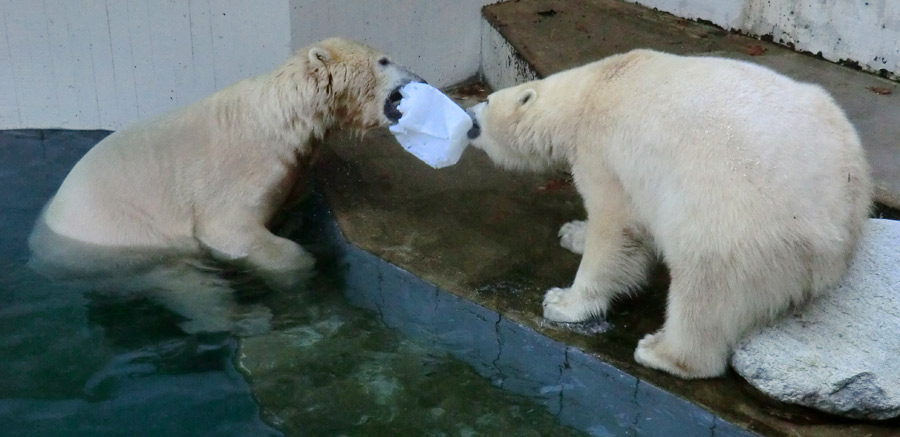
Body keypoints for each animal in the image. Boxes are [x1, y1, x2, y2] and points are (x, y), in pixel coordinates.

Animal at [28, 38, 422, 330]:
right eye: (384, 60)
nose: (420, 78)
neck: (282, 118)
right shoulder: (242, 168)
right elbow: (229, 228)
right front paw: (303, 267)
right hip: (130, 234)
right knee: (193, 288)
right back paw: (244, 316)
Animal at [468, 49, 876, 378]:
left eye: (486, 101)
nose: (470, 114)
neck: (595, 86)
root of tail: (842, 213)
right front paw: (572, 233)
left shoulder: (606, 151)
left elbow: (616, 228)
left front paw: (562, 302)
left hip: (739, 218)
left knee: (705, 285)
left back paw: (661, 351)